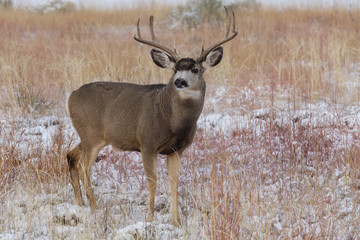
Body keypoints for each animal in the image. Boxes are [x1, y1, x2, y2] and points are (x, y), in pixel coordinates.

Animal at [66, 6, 238, 226]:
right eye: (175, 69)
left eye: (195, 69)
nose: (179, 81)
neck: (172, 120)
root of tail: (71, 96)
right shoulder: (147, 143)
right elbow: (152, 181)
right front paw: (149, 218)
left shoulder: (176, 150)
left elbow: (174, 181)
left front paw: (176, 221)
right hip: (91, 134)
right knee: (83, 165)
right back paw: (94, 208)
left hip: (91, 136)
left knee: (71, 155)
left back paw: (79, 203)